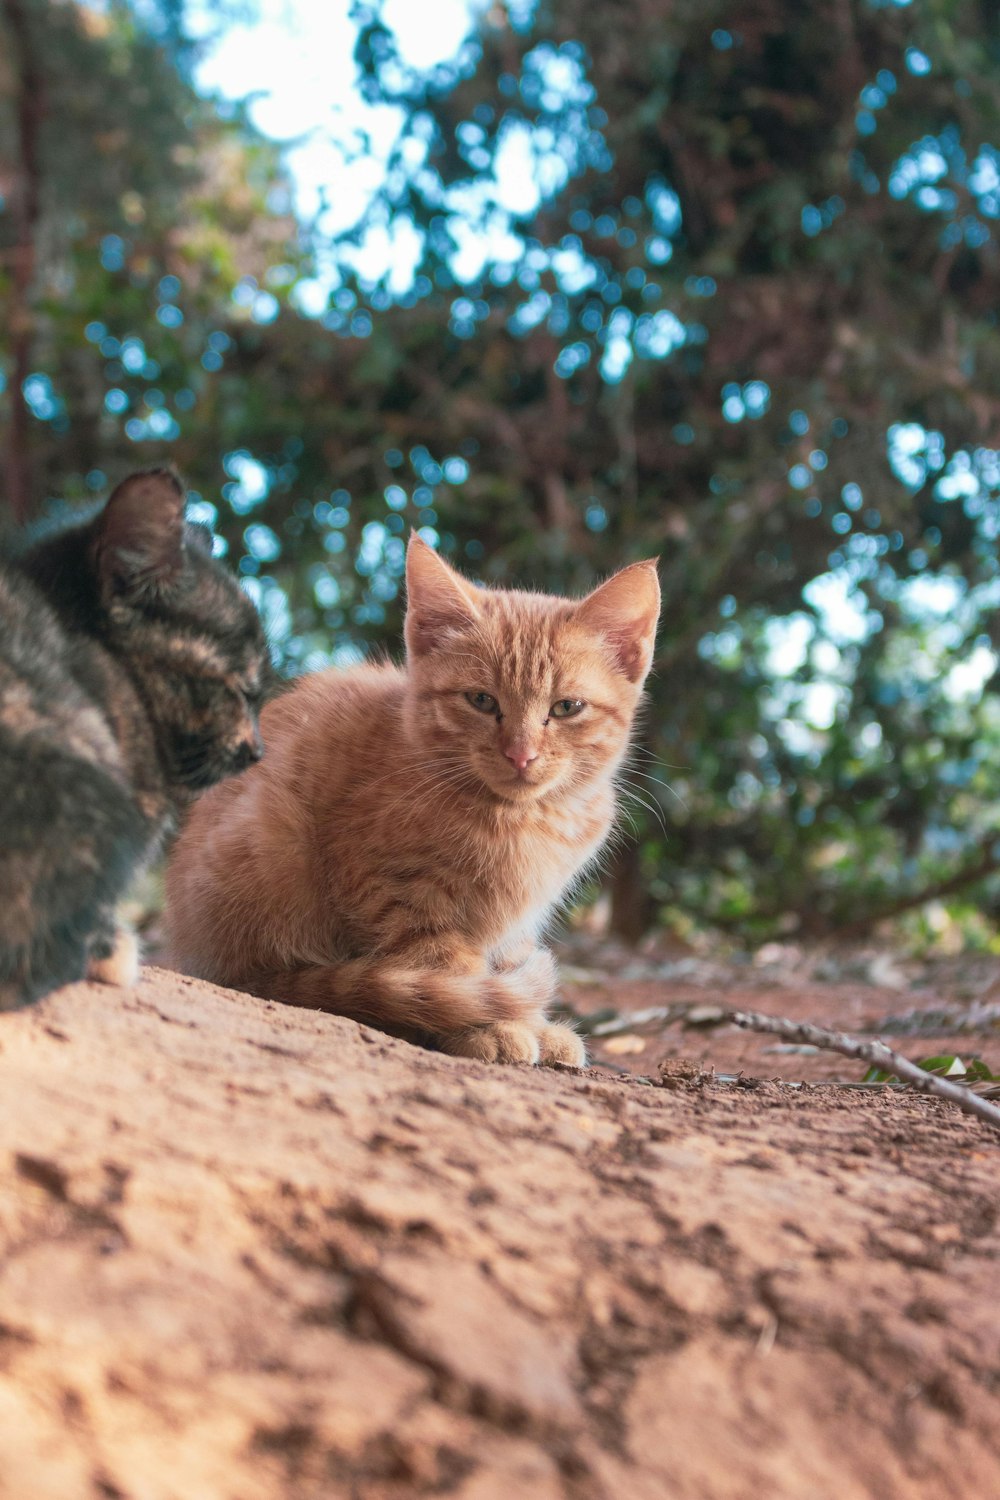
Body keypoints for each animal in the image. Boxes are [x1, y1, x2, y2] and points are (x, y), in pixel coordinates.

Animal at [166, 540, 656, 1068]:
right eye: (481, 700)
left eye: (567, 708)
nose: (520, 754)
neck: (522, 818)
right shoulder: (393, 889)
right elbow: (451, 971)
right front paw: (485, 1028)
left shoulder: (519, 920)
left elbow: (503, 962)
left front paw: (535, 1026)